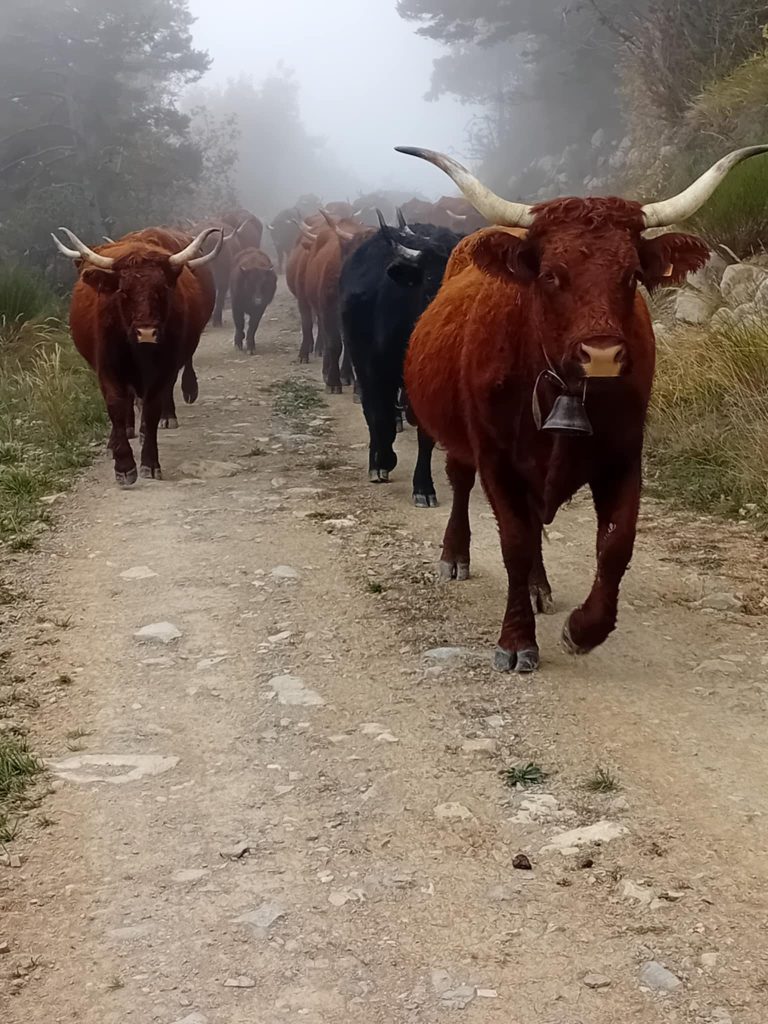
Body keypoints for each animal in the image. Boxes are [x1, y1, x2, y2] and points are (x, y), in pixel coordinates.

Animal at [52, 226, 222, 486]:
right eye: (123, 291)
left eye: (162, 289)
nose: (147, 332)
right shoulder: (107, 369)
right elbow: (117, 407)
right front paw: (123, 464)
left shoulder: (163, 369)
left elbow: (151, 410)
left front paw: (150, 462)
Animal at [340, 212, 463, 504]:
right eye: (431, 278)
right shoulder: (375, 369)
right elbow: (380, 416)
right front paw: (383, 461)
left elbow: (425, 433)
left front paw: (424, 487)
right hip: (360, 361)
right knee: (372, 410)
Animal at [397, 144, 767, 672]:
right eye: (552, 274)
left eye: (631, 275)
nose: (603, 355)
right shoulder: (496, 458)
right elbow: (514, 541)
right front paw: (515, 642)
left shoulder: (624, 456)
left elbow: (615, 544)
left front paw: (584, 629)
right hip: (461, 443)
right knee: (462, 484)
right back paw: (455, 555)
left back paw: (539, 587)